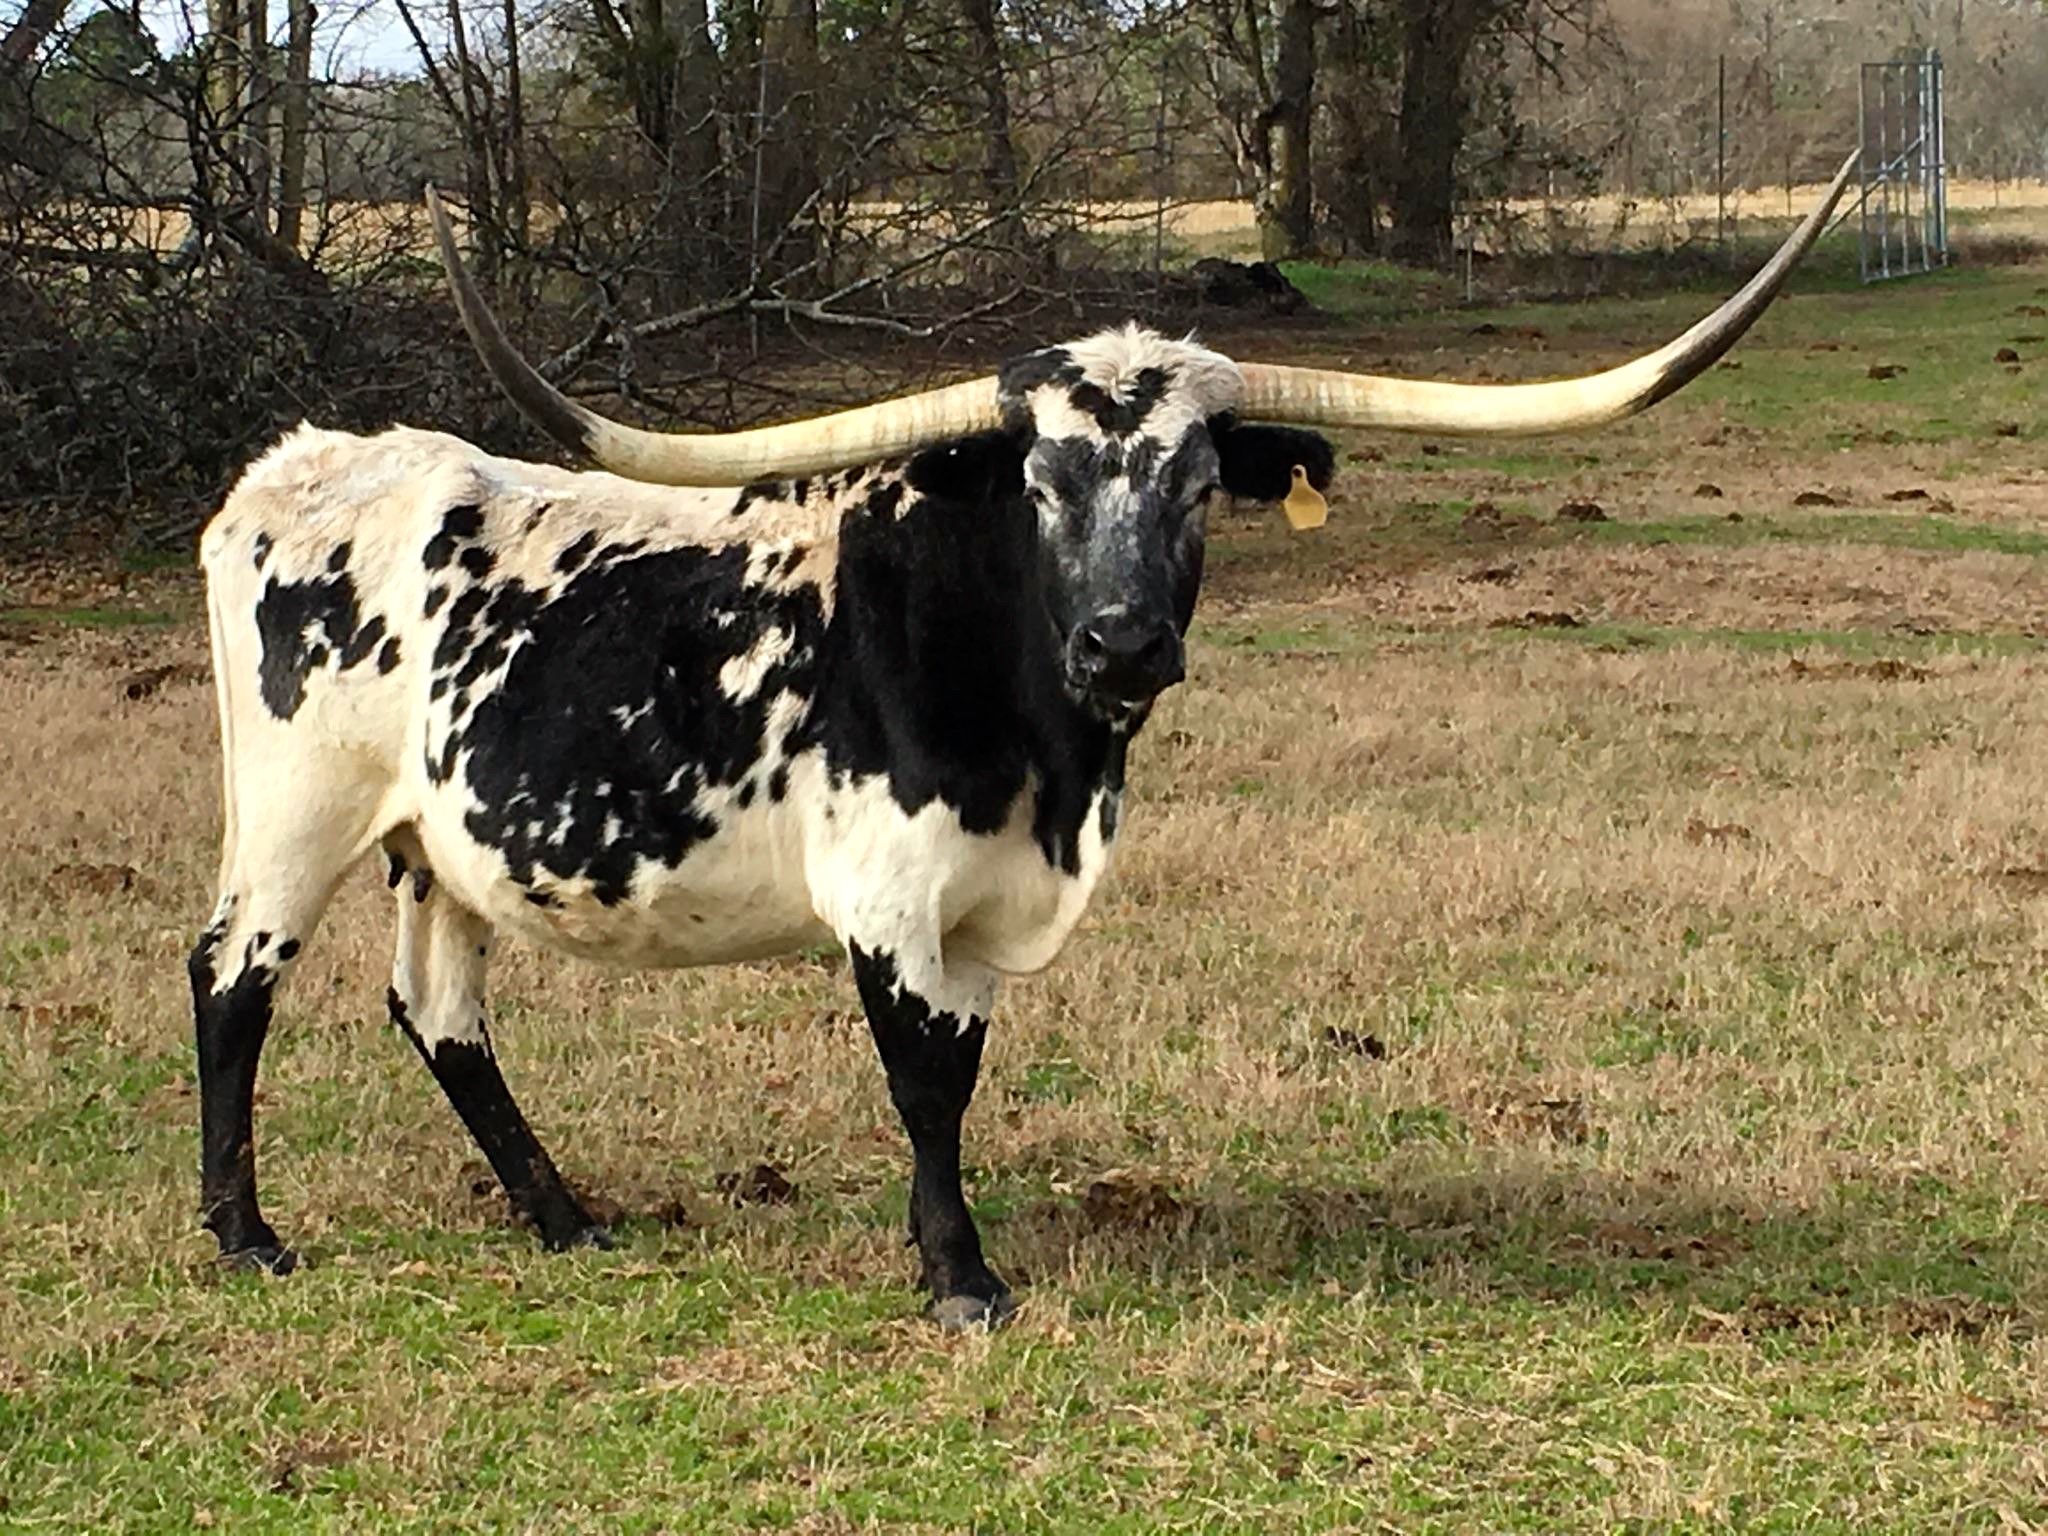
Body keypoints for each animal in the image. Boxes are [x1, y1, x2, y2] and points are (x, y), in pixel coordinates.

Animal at [189, 158, 1853, 1328]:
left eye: (1198, 483)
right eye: (1044, 480)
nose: (1124, 643)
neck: (1049, 753)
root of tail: (305, 462)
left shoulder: (984, 909)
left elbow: (966, 1070)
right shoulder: (890, 896)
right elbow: (925, 1086)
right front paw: (961, 1277)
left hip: (441, 845)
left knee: (440, 1014)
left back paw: (561, 1215)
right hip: (295, 814)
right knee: (231, 977)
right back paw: (245, 1235)